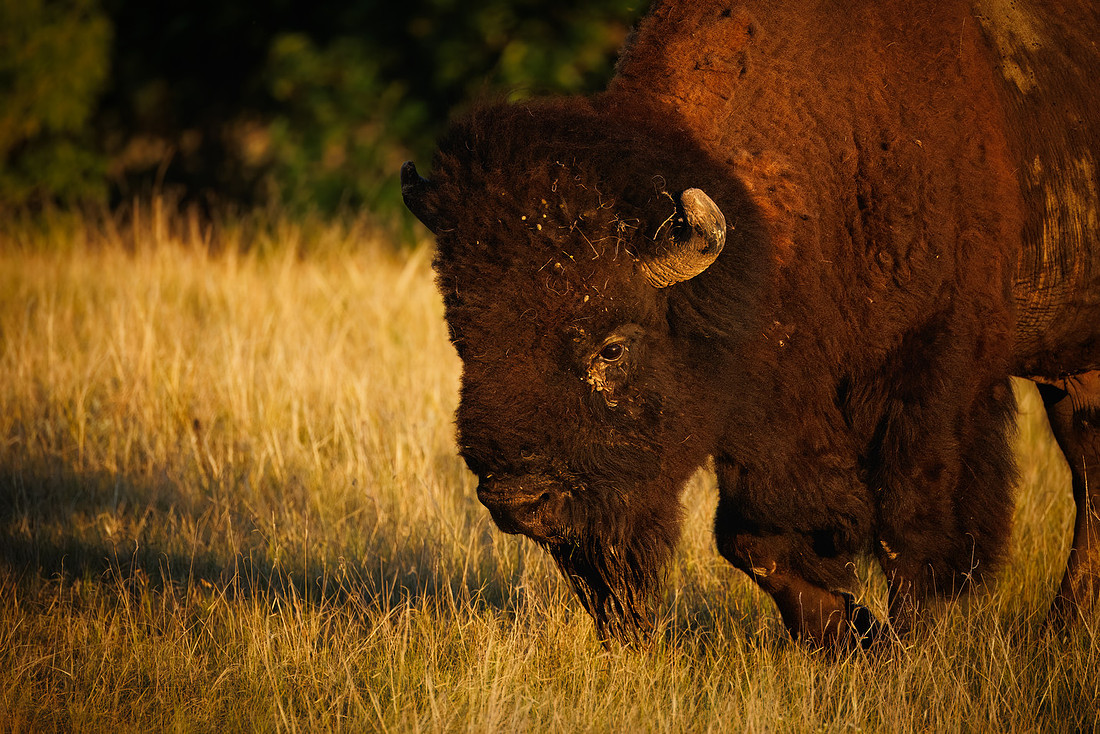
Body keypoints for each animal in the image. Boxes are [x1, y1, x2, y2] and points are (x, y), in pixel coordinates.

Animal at [401, 0, 1100, 647]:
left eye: (613, 348)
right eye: (464, 339)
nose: (519, 500)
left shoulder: (936, 374)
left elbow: (913, 531)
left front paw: (901, 644)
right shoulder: (765, 401)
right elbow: (754, 539)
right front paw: (848, 634)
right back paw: (1064, 630)